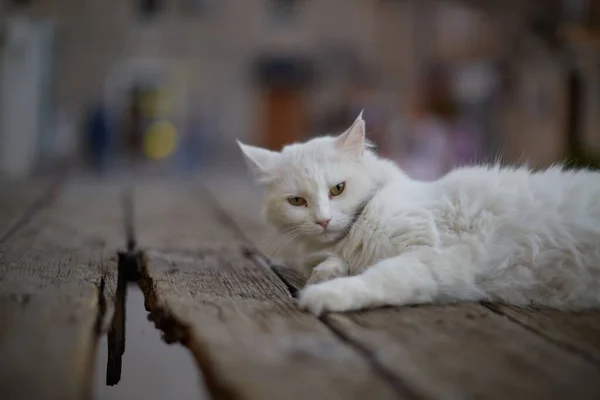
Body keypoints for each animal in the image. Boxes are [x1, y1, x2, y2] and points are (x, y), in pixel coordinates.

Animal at [237, 112, 600, 316]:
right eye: (297, 201)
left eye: (337, 189)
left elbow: (378, 277)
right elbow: (332, 264)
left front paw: (322, 295)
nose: (323, 220)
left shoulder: (432, 256)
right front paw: (326, 272)